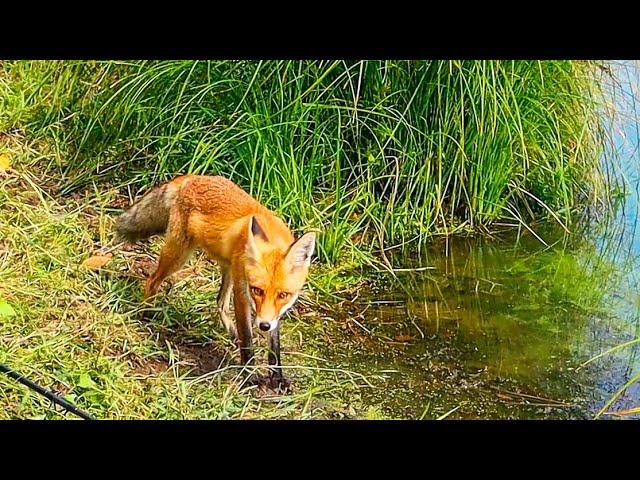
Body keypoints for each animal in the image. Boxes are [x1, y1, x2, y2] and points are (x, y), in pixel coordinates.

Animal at [116, 174, 316, 388]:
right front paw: (248, 374)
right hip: (178, 256)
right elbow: (247, 340)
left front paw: (277, 377)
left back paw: (231, 332)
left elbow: (274, 346)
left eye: (283, 294)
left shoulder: (271, 312)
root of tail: (193, 177)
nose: (263, 326)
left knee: (220, 302)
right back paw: (146, 313)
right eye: (257, 290)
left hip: (228, 268)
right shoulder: (242, 294)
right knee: (152, 281)